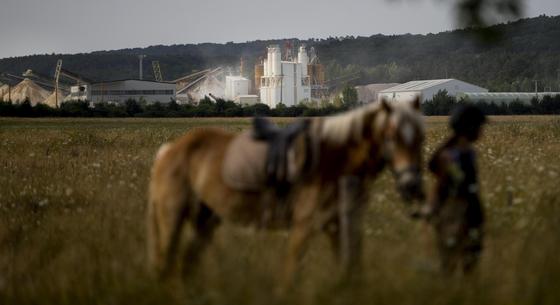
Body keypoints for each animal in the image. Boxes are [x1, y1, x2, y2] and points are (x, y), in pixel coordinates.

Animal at [145, 98, 424, 288]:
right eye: (390, 135)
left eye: (420, 137)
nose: (412, 185)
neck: (334, 159)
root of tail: (169, 150)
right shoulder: (304, 225)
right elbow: (291, 275)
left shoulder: (340, 225)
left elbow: (350, 273)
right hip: (172, 218)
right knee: (165, 266)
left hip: (205, 221)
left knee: (185, 266)